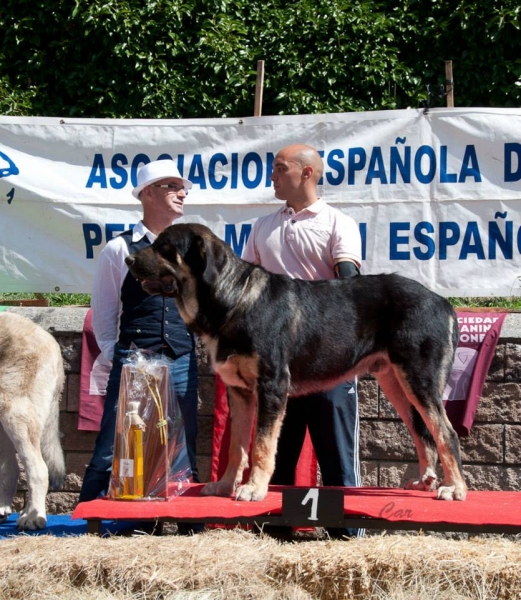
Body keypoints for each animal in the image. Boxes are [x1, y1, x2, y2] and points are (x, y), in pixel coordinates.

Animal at [126, 223, 468, 500]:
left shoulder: (272, 386)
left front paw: (254, 488)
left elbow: (262, 446)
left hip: (418, 378)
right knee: (422, 432)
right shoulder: (240, 391)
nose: (129, 260)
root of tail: (443, 302)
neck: (234, 300)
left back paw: (455, 488)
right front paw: (225, 486)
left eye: (165, 247)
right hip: (396, 381)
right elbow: (238, 448)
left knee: (445, 433)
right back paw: (425, 482)